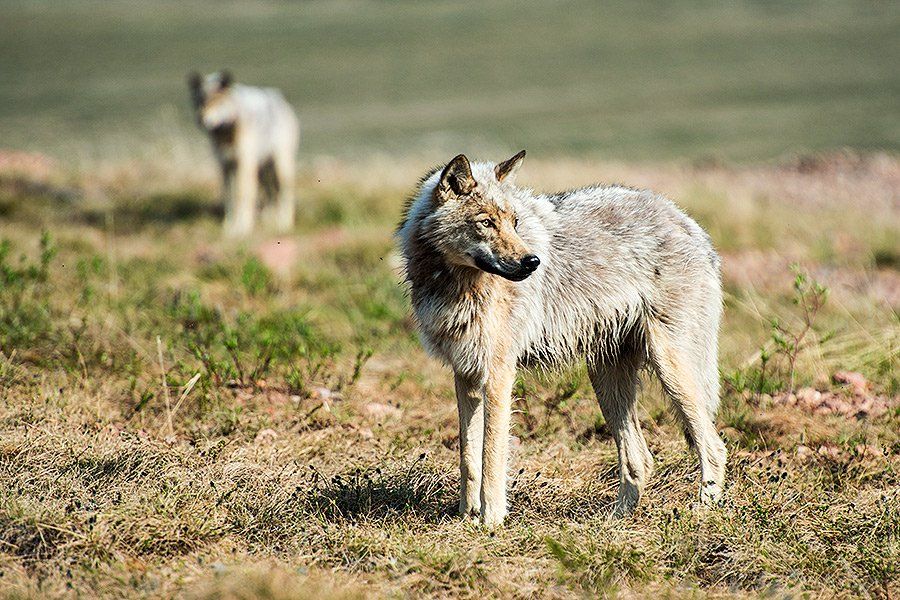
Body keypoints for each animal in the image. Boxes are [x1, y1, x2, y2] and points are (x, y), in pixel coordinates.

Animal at [188, 70, 299, 237]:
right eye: (201, 101)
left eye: (217, 101)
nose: (202, 120)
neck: (226, 134)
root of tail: (281, 99)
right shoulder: (224, 166)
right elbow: (228, 197)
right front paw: (228, 228)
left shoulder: (245, 164)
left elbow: (242, 195)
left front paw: (242, 229)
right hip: (262, 172)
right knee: (270, 194)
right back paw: (269, 221)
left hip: (280, 168)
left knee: (284, 191)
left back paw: (283, 223)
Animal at [397, 151, 727, 527]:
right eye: (486, 223)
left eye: (514, 222)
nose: (532, 262)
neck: (455, 284)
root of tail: (691, 224)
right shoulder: (465, 374)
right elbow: (469, 457)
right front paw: (467, 518)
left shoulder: (498, 374)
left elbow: (492, 456)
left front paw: (491, 522)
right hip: (607, 381)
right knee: (640, 459)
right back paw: (613, 522)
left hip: (671, 370)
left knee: (713, 447)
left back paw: (702, 511)